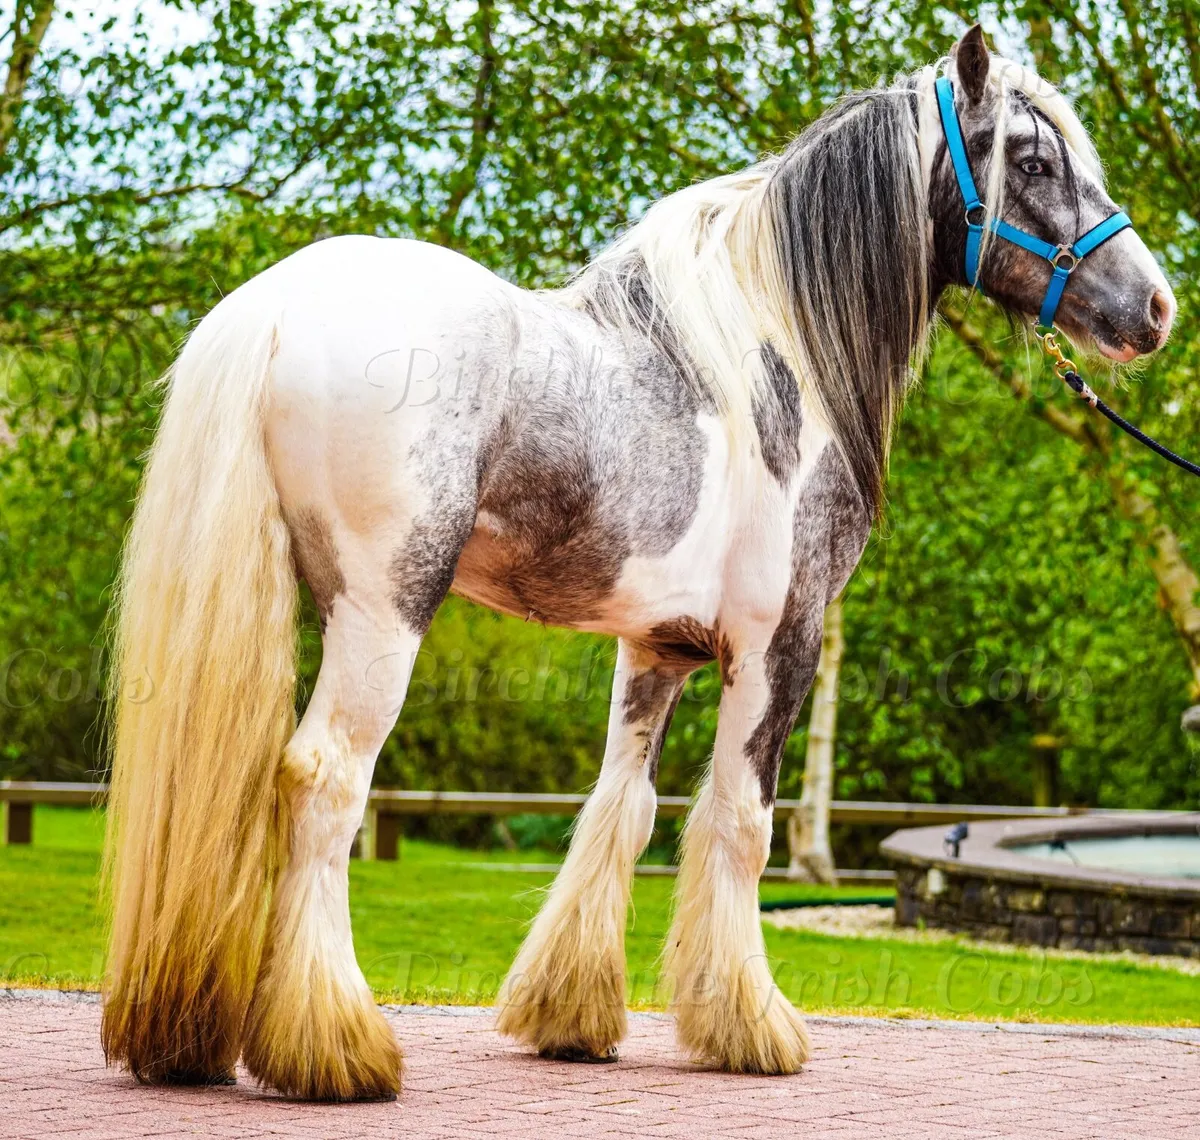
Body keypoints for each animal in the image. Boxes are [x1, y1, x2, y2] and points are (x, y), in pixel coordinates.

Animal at [100, 26, 1174, 1100]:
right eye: (1032, 163)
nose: (1156, 307)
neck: (779, 349)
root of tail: (276, 307)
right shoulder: (779, 645)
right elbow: (741, 821)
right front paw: (750, 1027)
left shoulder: (656, 650)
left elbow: (623, 805)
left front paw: (568, 1015)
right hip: (383, 612)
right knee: (324, 781)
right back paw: (335, 1045)